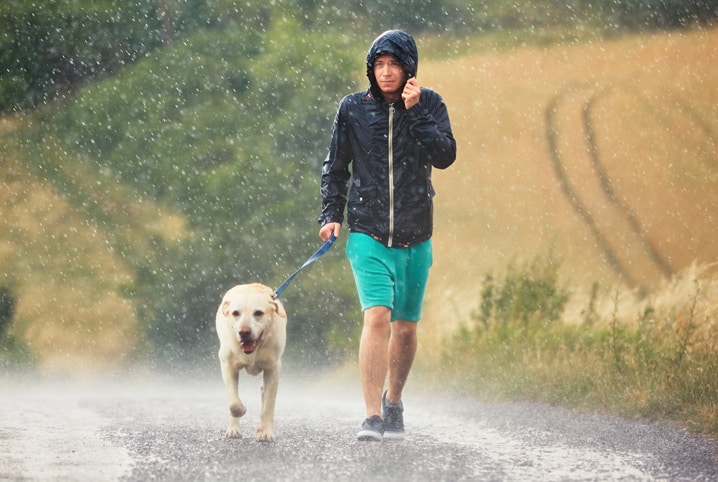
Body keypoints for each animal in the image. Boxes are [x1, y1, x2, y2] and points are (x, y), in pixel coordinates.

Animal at [217, 284, 286, 442]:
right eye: (235, 313)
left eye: (258, 313)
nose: (244, 332)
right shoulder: (227, 365)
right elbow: (233, 403)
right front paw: (241, 410)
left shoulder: (273, 368)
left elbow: (269, 405)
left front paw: (266, 432)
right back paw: (233, 430)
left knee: (264, 393)